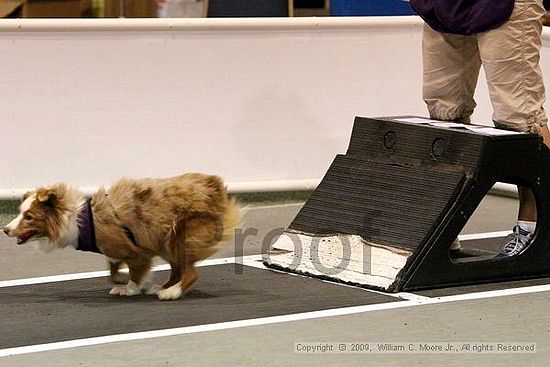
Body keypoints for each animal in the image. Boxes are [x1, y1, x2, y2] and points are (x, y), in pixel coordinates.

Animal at [2, 174, 240, 300]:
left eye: (29, 217)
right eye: (20, 212)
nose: (5, 229)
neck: (78, 220)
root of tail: (214, 185)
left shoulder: (138, 253)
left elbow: (134, 273)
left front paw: (129, 288)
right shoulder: (118, 251)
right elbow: (112, 270)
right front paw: (124, 280)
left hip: (178, 239)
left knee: (190, 272)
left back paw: (171, 292)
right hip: (166, 241)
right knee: (177, 269)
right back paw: (162, 287)